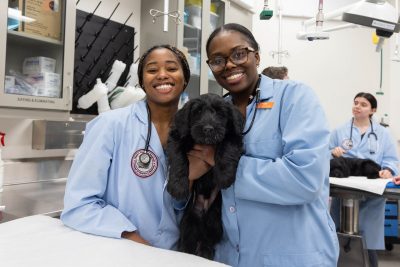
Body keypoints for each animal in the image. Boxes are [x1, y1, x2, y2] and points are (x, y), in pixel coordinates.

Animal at [166, 93, 244, 260]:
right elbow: (178, 157)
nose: (208, 129)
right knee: (187, 241)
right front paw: (178, 186)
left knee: (208, 239)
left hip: (215, 221)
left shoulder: (233, 134)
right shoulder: (178, 136)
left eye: (220, 113)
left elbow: (227, 145)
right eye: (197, 112)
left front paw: (225, 175)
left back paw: (205, 253)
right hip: (188, 220)